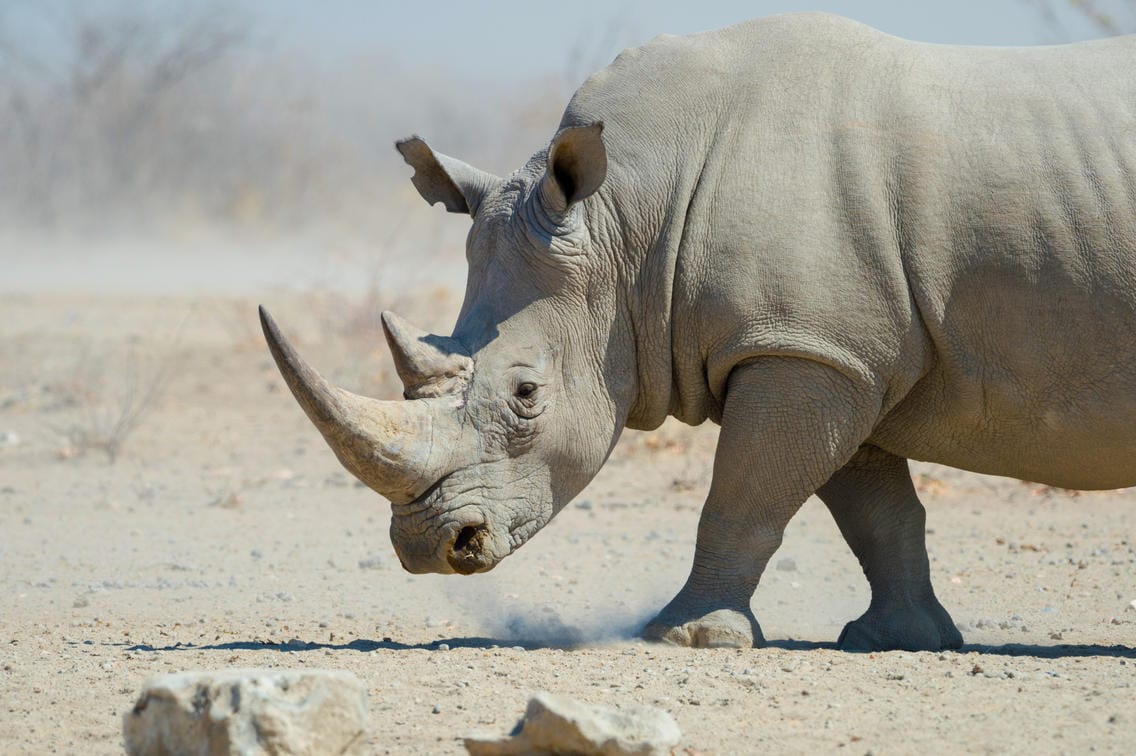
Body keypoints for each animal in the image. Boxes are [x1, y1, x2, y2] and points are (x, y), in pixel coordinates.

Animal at [260, 13, 1136, 651]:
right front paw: (901, 639)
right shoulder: (839, 346)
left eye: (526, 394)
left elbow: (745, 492)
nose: (431, 548)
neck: (626, 218)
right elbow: (874, 507)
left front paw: (685, 637)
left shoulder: (801, 348)